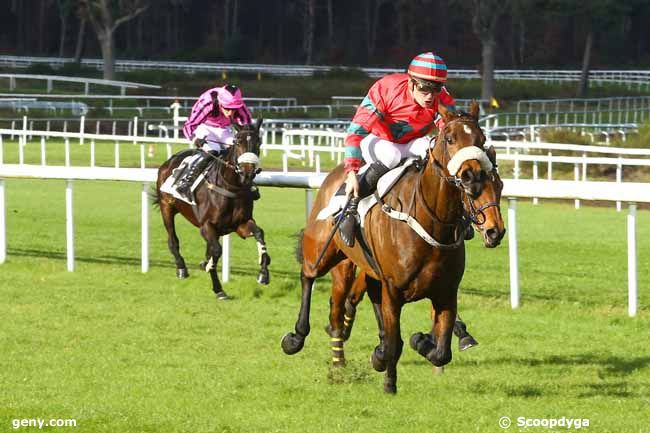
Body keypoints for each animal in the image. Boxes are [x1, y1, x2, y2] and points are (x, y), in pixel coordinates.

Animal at [153, 120, 270, 298]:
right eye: (238, 142)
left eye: (259, 142)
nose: (247, 173)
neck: (231, 187)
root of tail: (169, 161)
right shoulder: (206, 225)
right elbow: (216, 251)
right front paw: (218, 288)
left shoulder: (240, 224)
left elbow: (259, 234)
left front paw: (263, 273)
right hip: (166, 207)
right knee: (173, 240)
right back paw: (181, 267)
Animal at [280, 104, 504, 392]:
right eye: (450, 138)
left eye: (481, 137)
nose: (472, 172)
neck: (430, 222)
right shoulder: (394, 288)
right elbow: (396, 342)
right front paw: (389, 384)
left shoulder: (446, 291)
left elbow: (441, 351)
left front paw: (419, 341)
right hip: (325, 253)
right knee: (312, 280)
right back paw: (302, 340)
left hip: (366, 269)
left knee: (359, 300)